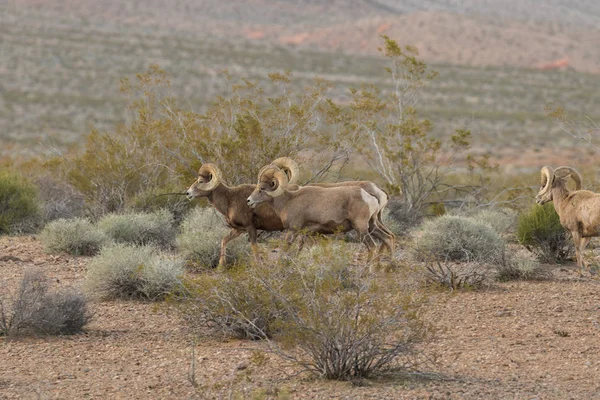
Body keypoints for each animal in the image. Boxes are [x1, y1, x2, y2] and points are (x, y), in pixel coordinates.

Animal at [247, 164, 394, 258]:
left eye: (262, 188)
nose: (248, 201)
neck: (289, 200)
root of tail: (370, 196)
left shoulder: (293, 230)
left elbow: (286, 249)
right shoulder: (307, 233)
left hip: (361, 228)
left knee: (373, 247)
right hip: (372, 226)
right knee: (387, 238)